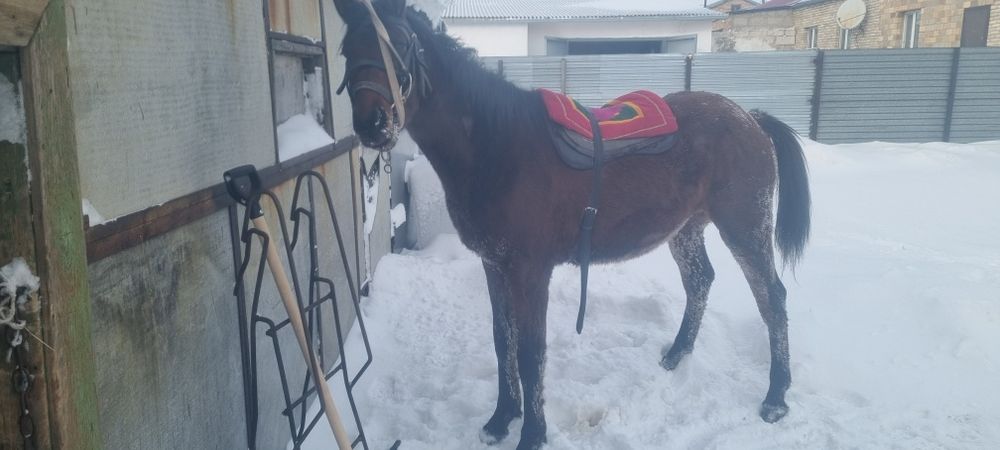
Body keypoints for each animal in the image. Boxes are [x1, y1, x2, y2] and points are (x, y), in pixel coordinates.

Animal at [331, 1, 810, 448]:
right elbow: (502, 341)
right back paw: (677, 356)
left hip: (745, 227)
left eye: (400, 45)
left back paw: (775, 398)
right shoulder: (494, 266)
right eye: (346, 50)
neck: (497, 145)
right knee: (700, 281)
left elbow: (530, 352)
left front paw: (532, 433)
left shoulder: (530, 271)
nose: (372, 124)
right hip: (687, 229)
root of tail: (750, 119)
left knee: (773, 299)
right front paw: (500, 419)